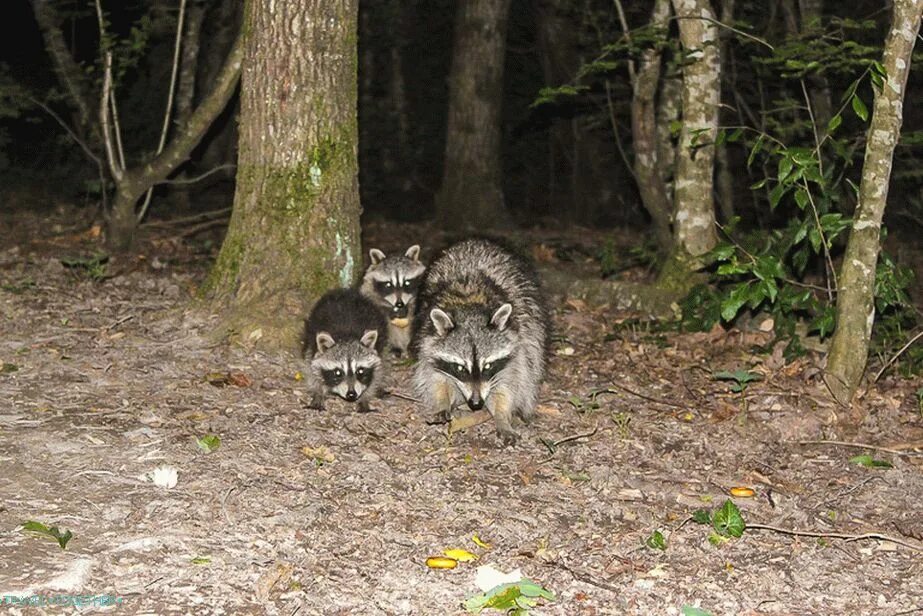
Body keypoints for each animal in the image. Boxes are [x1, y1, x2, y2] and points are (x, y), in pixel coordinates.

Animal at [412, 238, 548, 446]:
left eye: (488, 366)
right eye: (460, 368)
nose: (476, 403)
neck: (468, 302)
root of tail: (475, 241)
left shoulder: (517, 342)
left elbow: (510, 381)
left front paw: (502, 415)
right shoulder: (428, 338)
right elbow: (434, 376)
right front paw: (442, 401)